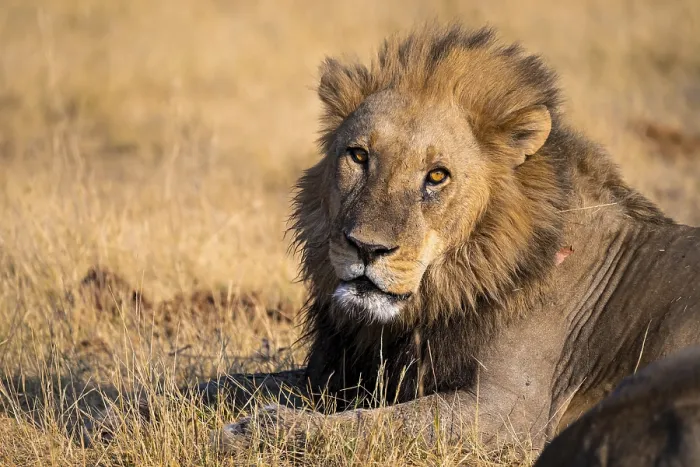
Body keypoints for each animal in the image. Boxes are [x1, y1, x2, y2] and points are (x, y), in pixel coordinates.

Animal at [90, 24, 700, 457]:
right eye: (359, 155)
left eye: (437, 176)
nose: (366, 249)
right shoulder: (337, 371)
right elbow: (225, 381)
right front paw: (115, 410)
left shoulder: (508, 409)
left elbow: (367, 424)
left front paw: (250, 433)